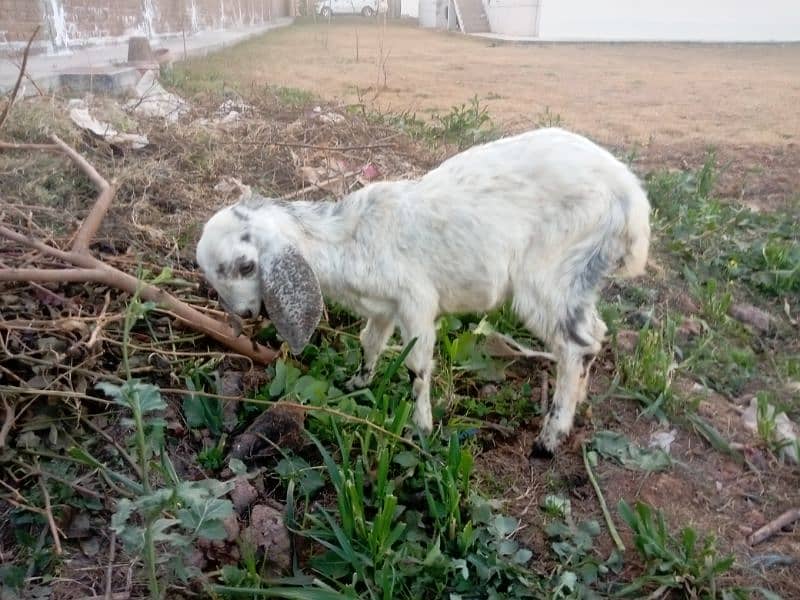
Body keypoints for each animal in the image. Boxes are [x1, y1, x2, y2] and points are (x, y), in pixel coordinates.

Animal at [194, 125, 648, 454]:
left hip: (549, 274)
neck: (348, 238)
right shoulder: (384, 307)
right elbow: (370, 342)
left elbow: (416, 365)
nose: (246, 315)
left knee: (573, 347)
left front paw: (421, 428)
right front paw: (357, 383)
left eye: (246, 265)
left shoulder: (416, 301)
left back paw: (549, 438)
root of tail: (632, 200)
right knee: (595, 334)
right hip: (580, 276)